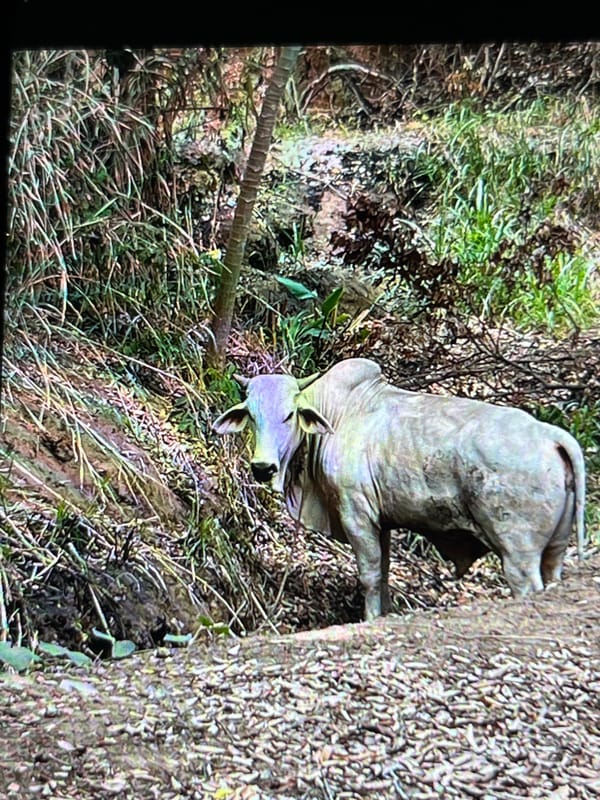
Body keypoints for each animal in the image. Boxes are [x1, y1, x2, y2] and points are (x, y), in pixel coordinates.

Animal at [213, 358, 586, 621]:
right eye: (251, 415)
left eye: (290, 415)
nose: (262, 467)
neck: (337, 415)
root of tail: (551, 435)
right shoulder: (382, 521)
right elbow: (385, 572)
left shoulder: (356, 514)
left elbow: (369, 574)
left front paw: (369, 618)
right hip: (555, 547)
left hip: (518, 552)